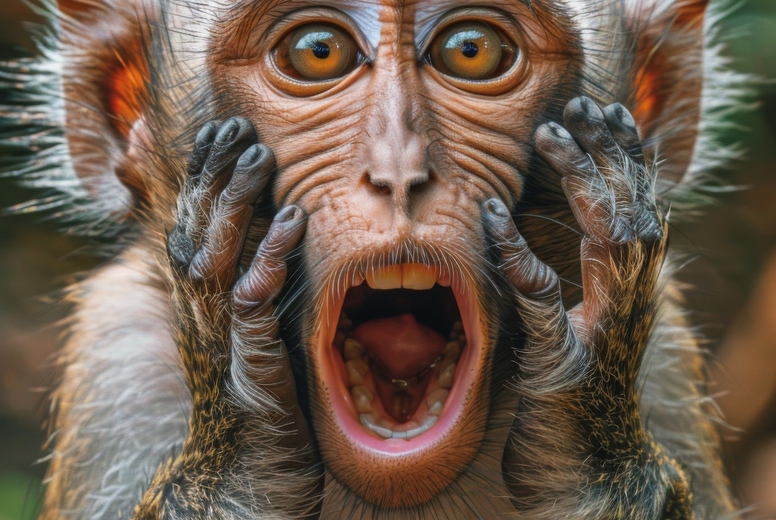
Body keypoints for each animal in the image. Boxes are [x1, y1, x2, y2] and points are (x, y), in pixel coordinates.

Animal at [0, 0, 745, 517]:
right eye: (318, 51)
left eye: (471, 50)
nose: (398, 172)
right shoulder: (118, 370)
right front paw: (239, 390)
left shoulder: (668, 369)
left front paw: (579, 410)